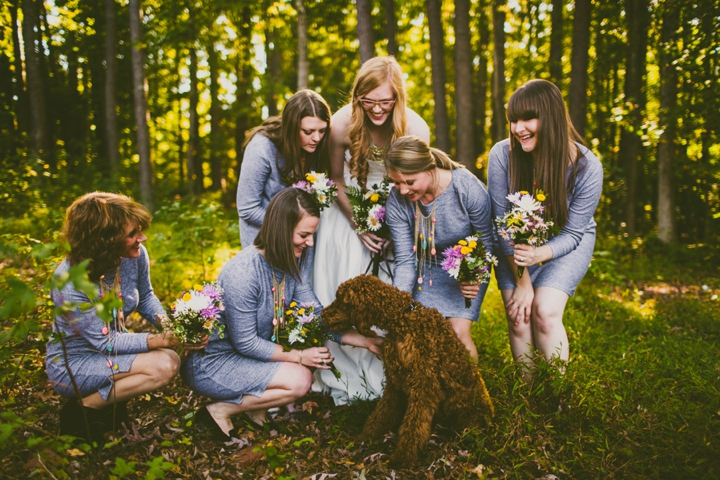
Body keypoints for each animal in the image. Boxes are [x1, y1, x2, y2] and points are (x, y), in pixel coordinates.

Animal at [322, 276, 496, 466]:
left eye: (342, 301)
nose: (323, 314)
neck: (402, 320)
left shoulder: (425, 386)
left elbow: (414, 424)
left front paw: (402, 458)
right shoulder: (395, 380)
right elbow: (382, 412)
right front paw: (366, 436)